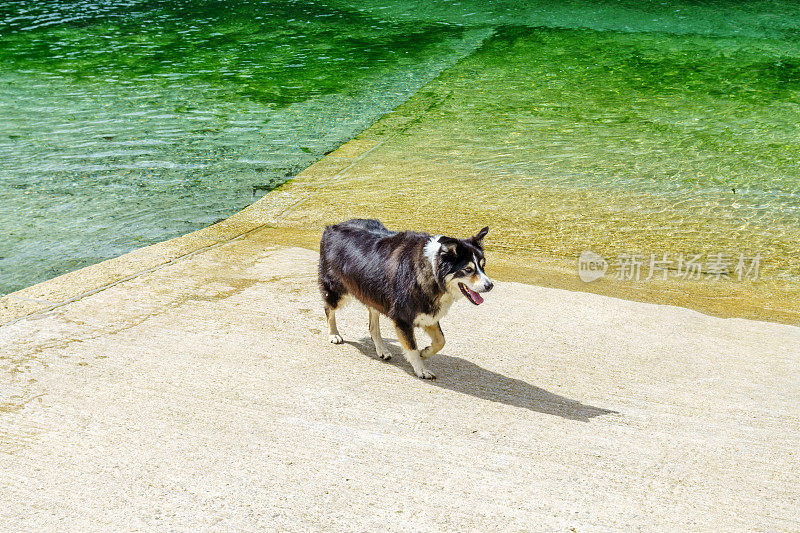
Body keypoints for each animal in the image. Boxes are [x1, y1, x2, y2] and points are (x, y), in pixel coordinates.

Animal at [318, 217, 494, 378]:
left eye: (483, 266)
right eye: (468, 269)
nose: (490, 285)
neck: (431, 269)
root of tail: (332, 227)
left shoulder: (427, 311)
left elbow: (441, 340)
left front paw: (425, 352)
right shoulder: (403, 316)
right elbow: (411, 346)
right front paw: (421, 369)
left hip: (373, 293)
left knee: (373, 324)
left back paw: (381, 348)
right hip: (337, 290)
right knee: (328, 309)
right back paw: (334, 334)